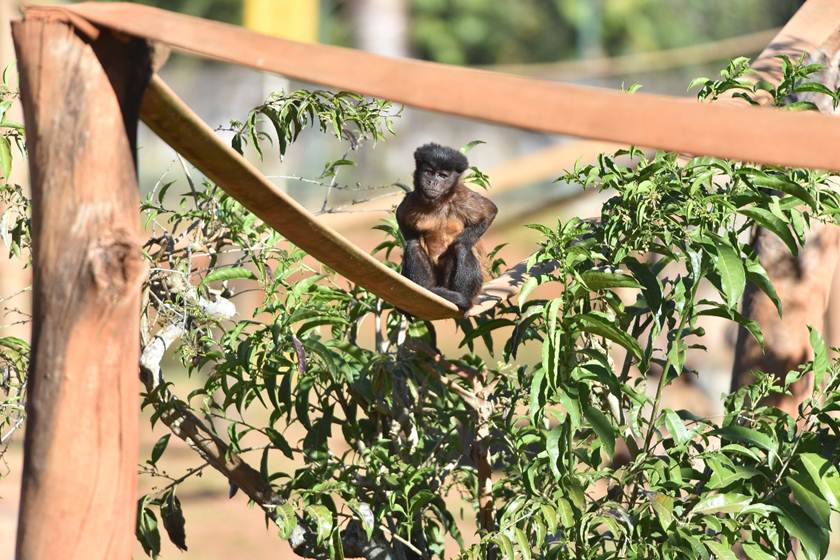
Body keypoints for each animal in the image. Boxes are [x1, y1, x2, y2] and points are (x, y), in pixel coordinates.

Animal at [398, 142, 496, 312]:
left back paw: (464, 301)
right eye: (429, 172)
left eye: (442, 176)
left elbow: (490, 211)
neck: (439, 202)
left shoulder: (462, 196)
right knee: (413, 245)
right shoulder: (411, 200)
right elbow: (401, 218)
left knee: (461, 247)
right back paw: (426, 290)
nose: (433, 182)